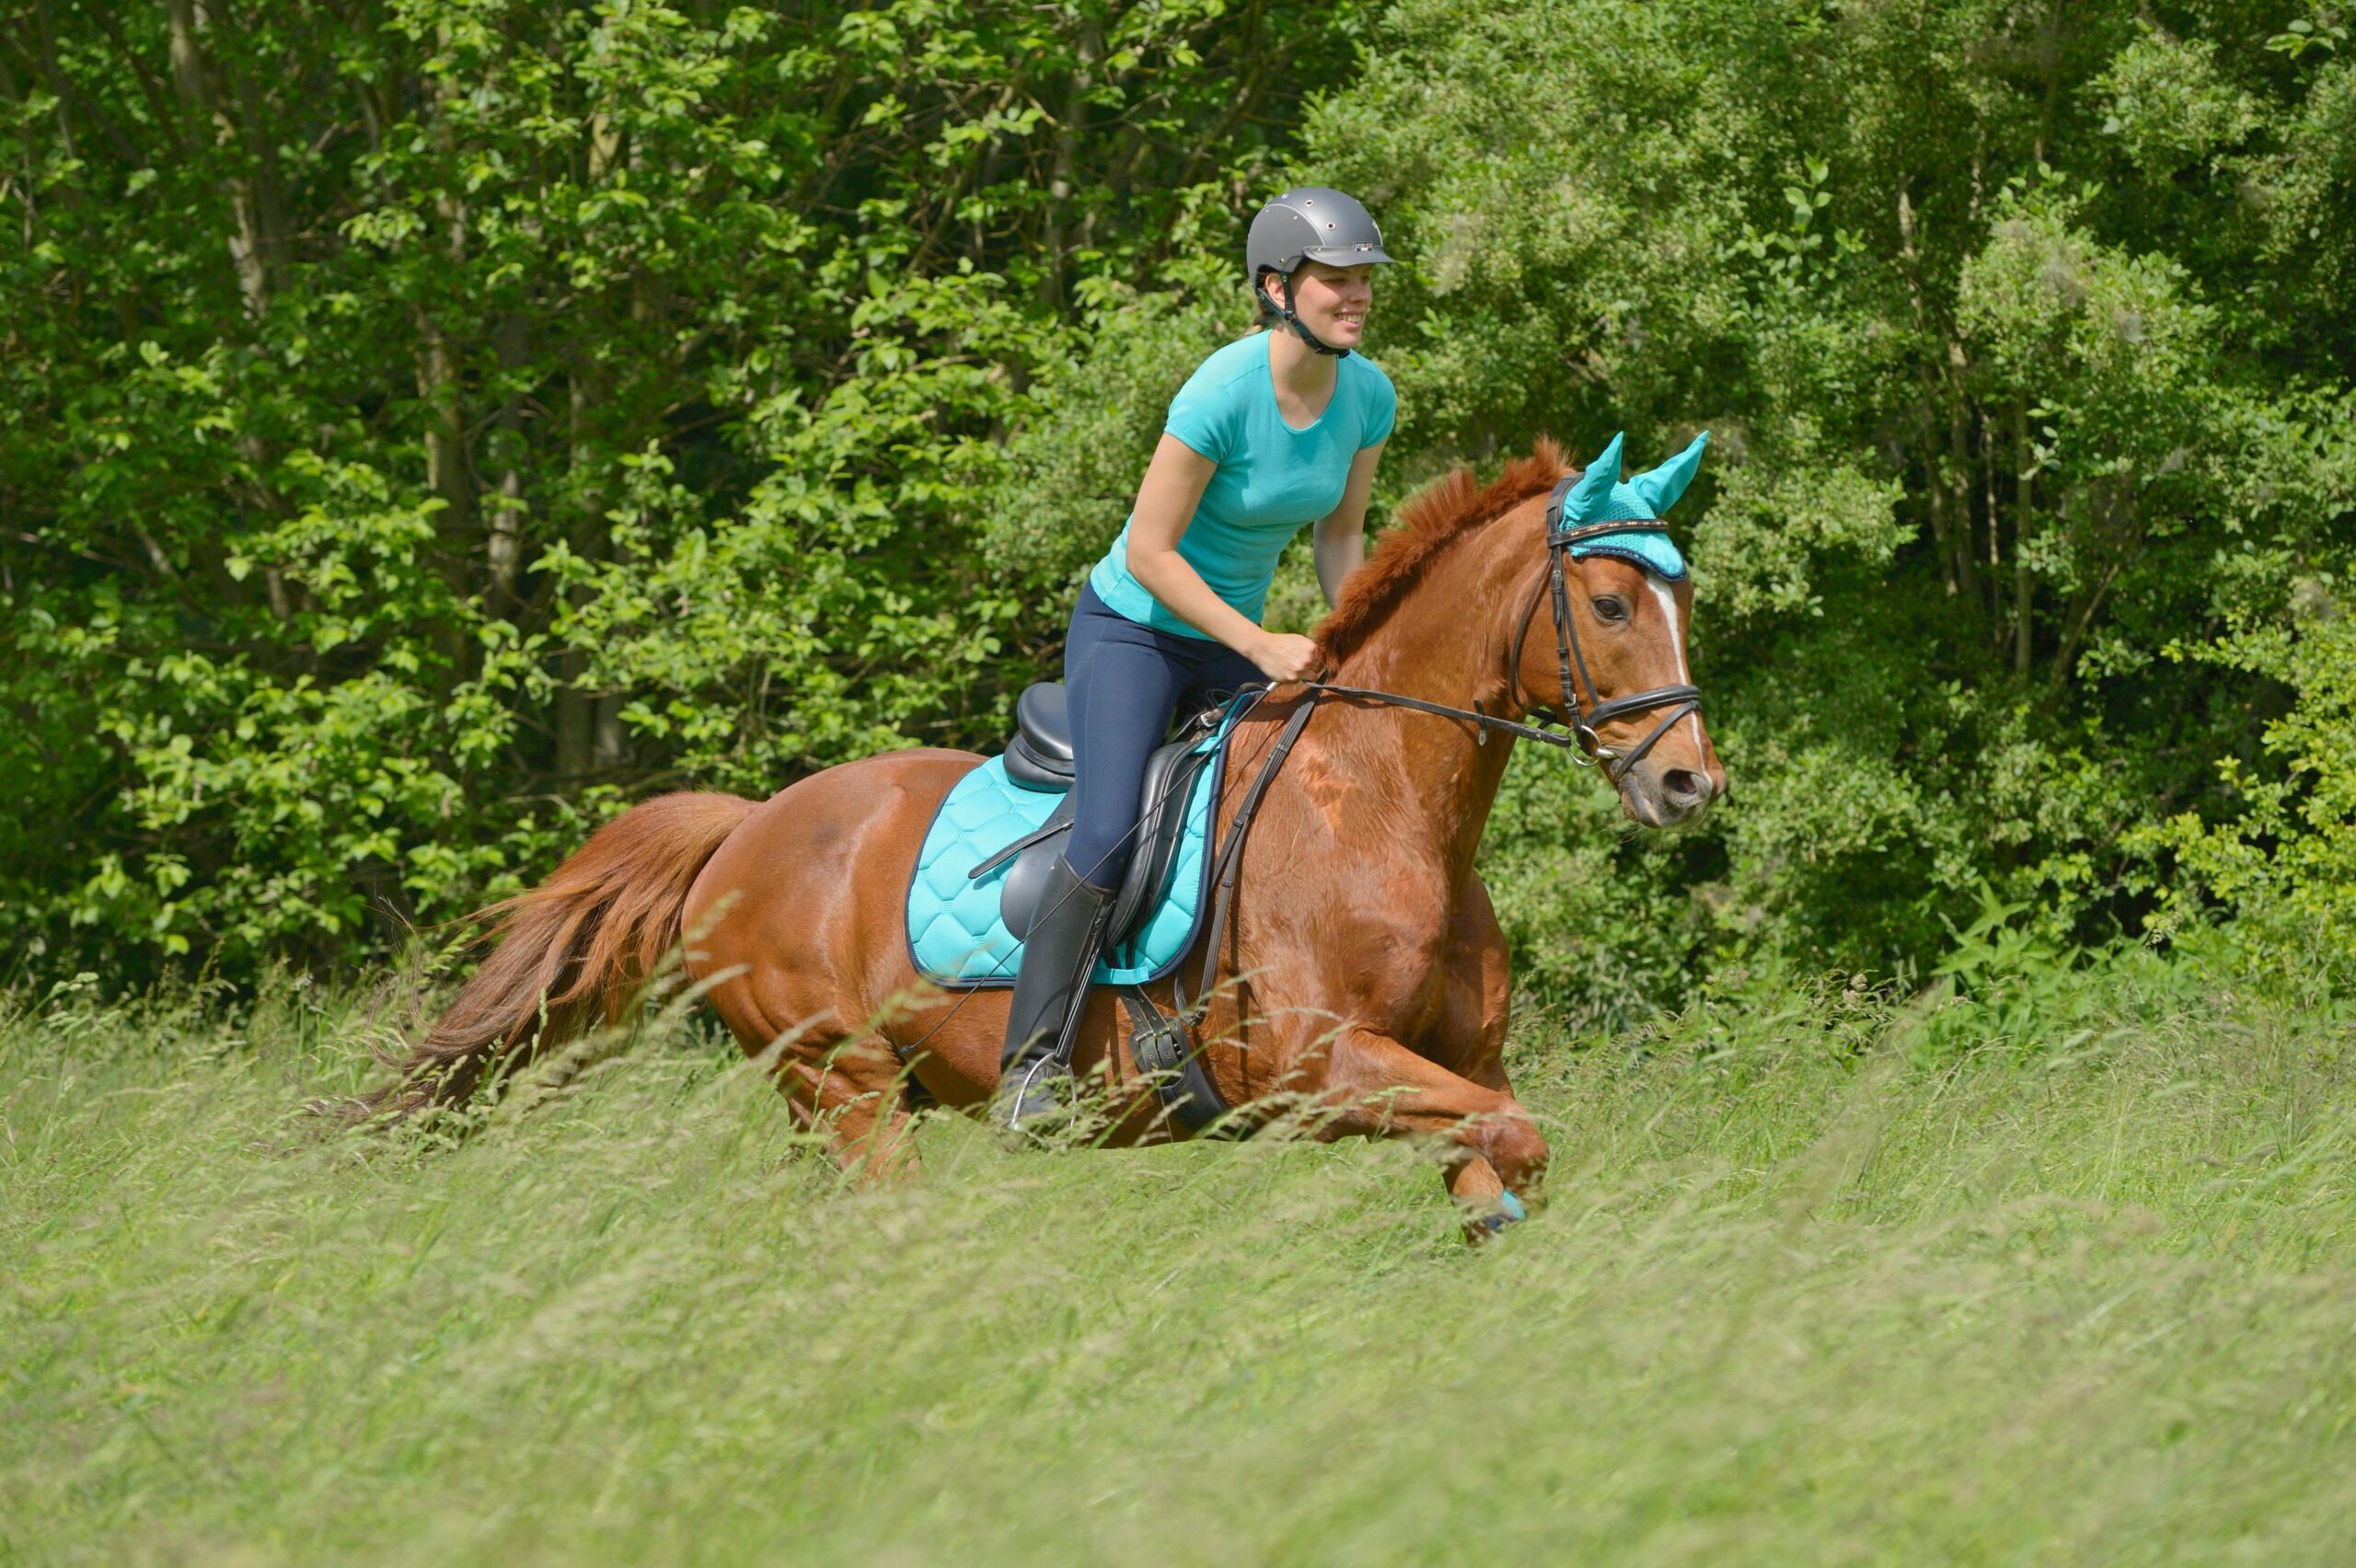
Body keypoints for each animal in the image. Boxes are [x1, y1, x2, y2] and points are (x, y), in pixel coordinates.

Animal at [374, 437, 1724, 1226]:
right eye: (1610, 602)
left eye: (1683, 596)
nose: (1688, 785)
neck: (1390, 809)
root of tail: (749, 828)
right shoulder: (1317, 1070)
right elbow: (1515, 1140)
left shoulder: (1459, 1066)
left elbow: (1505, 1150)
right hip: (846, 1082)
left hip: (842, 1098)